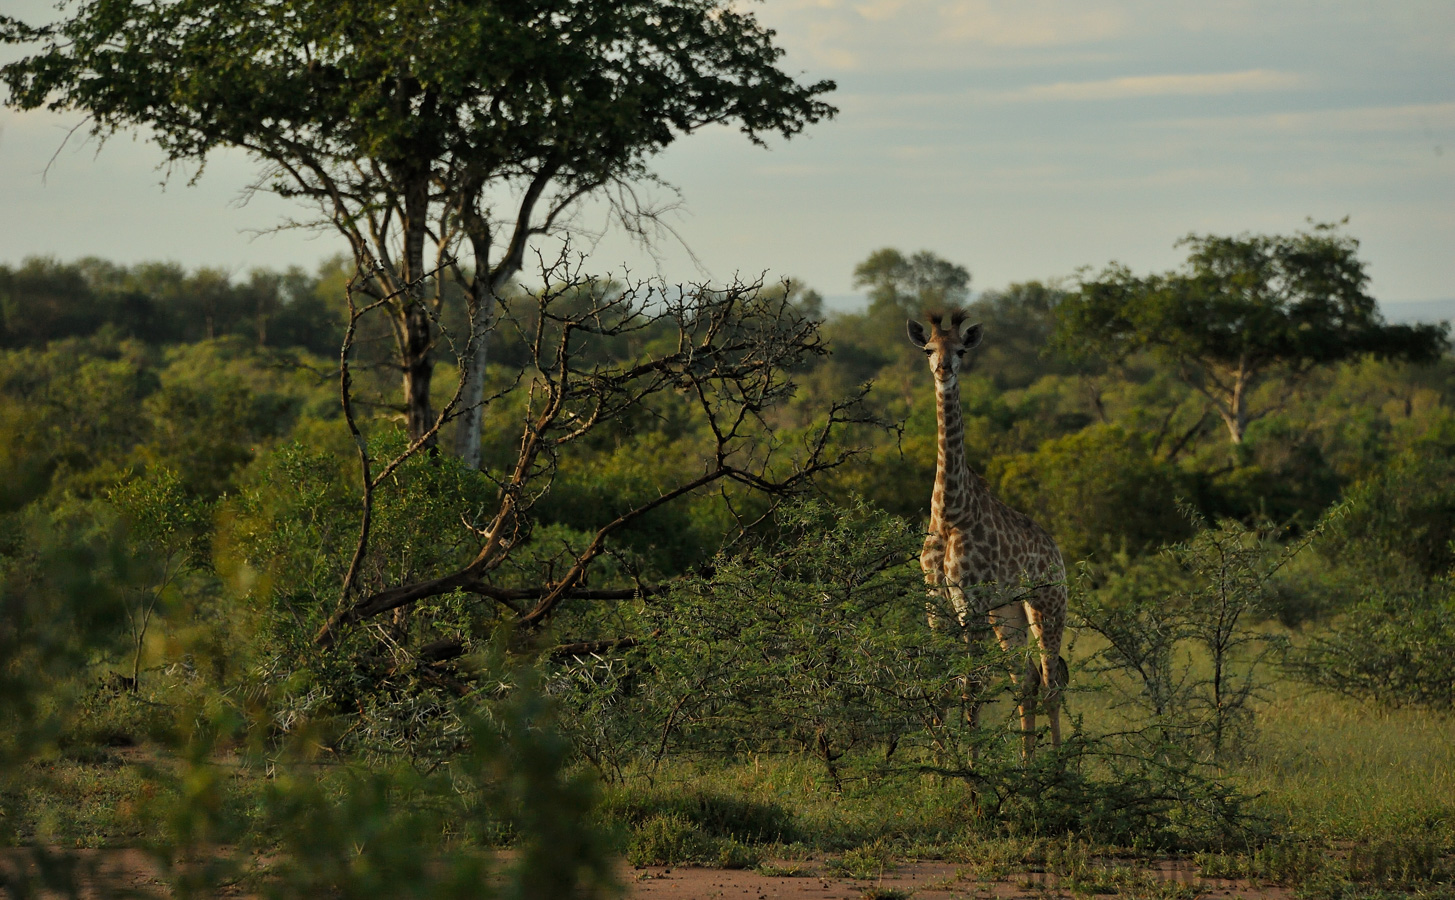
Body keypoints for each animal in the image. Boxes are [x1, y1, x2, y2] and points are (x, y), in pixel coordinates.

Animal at [907, 314, 1070, 756]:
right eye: (928, 349)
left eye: (962, 350)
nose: (944, 370)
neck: (949, 512)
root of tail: (1057, 553)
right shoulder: (937, 600)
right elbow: (945, 682)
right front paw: (942, 763)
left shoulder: (972, 600)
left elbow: (973, 684)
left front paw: (972, 765)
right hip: (1007, 611)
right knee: (1025, 678)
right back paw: (1029, 762)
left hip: (1047, 604)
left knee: (1051, 680)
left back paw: (1060, 765)